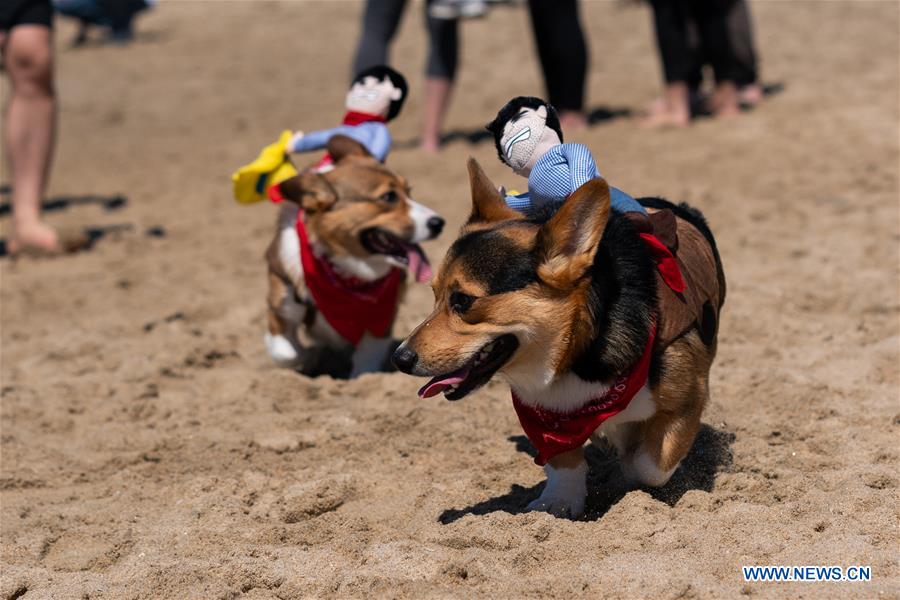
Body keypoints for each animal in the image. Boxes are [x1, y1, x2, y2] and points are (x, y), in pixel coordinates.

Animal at [266, 138, 444, 378]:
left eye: (409, 191)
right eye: (389, 197)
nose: (439, 223)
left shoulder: (380, 322)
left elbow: (365, 365)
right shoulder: (280, 308)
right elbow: (287, 352)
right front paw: (308, 358)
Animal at [392, 158, 724, 516]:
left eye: (463, 301)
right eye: (434, 294)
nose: (399, 358)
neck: (576, 353)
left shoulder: (687, 402)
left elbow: (647, 466)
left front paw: (625, 468)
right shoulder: (543, 414)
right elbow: (563, 461)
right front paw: (558, 504)